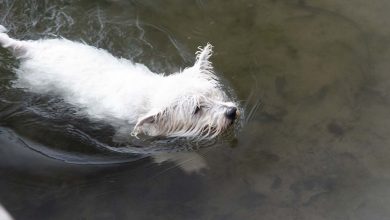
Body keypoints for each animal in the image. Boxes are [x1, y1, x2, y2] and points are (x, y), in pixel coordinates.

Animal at [0, 25, 239, 139]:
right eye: (197, 109)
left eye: (213, 94)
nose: (232, 112)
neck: (151, 93)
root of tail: (29, 49)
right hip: (33, 82)